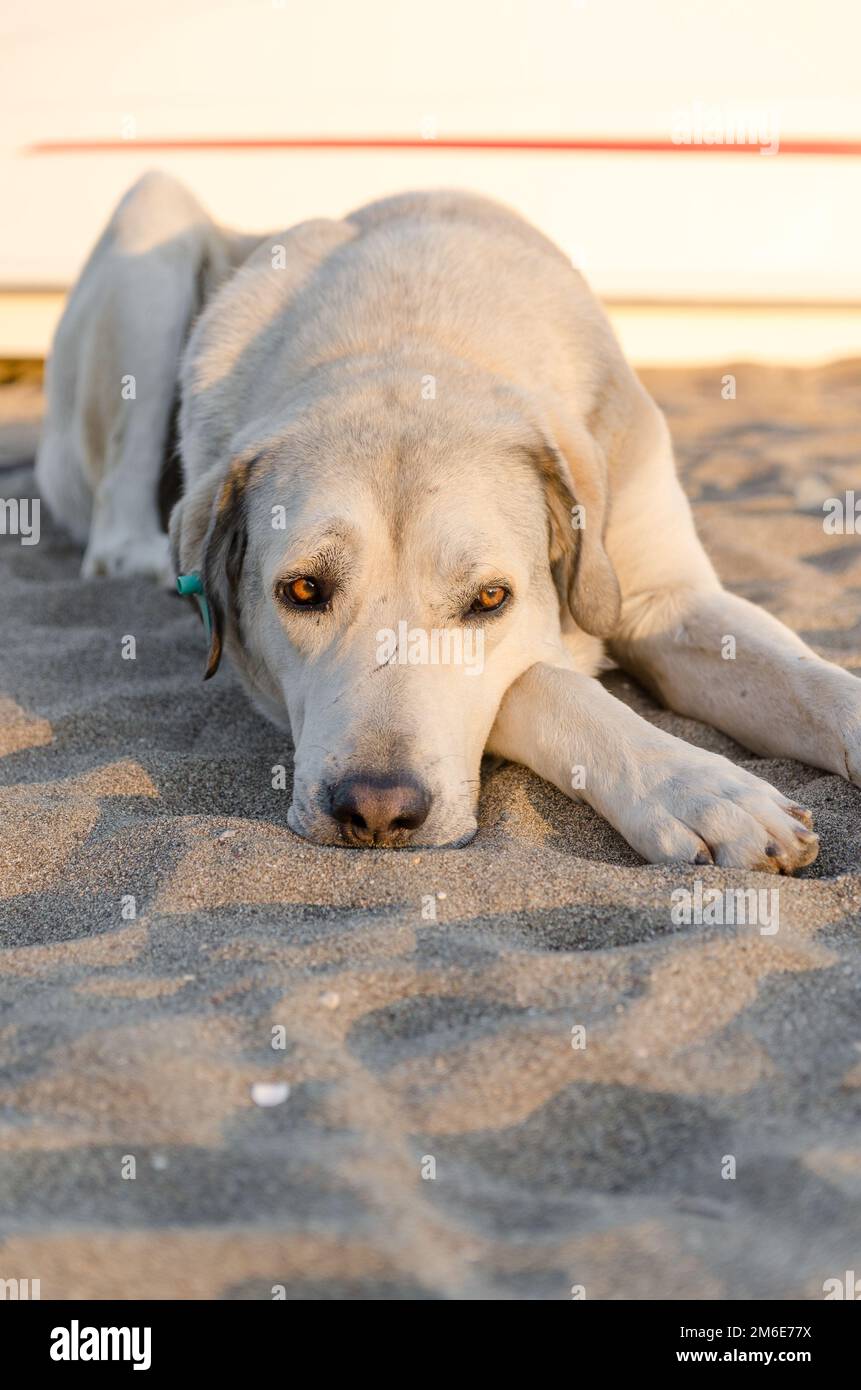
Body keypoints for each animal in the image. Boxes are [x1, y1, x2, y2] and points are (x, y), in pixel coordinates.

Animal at [35, 170, 861, 867]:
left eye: (488, 599)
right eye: (302, 591)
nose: (374, 810)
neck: (410, 334)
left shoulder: (666, 599)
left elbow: (807, 680)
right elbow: (542, 682)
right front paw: (703, 792)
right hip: (152, 221)